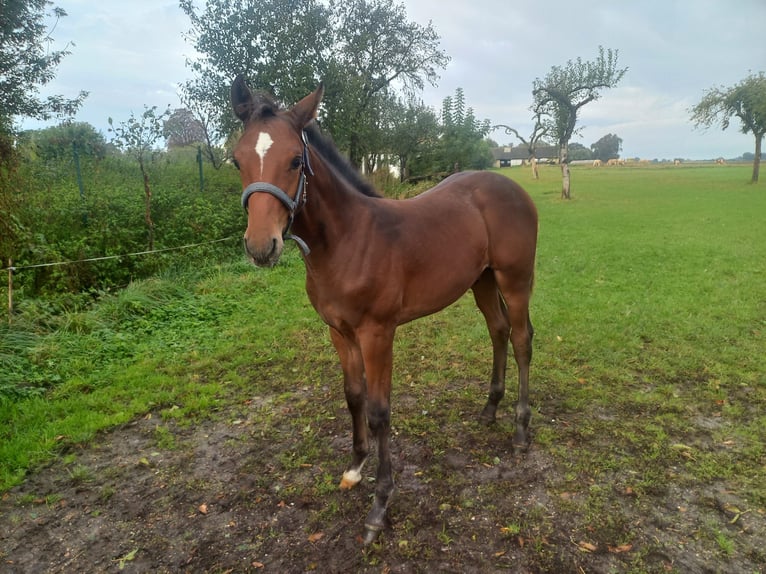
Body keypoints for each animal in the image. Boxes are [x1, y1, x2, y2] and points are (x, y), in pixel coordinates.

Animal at [231, 75, 536, 544]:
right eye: (236, 160)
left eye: (296, 160)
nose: (262, 247)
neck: (349, 241)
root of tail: (512, 186)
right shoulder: (339, 331)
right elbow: (353, 395)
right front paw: (354, 469)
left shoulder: (378, 333)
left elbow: (379, 411)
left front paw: (380, 506)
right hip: (482, 281)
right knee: (498, 330)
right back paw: (489, 410)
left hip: (514, 278)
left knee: (521, 339)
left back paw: (520, 429)